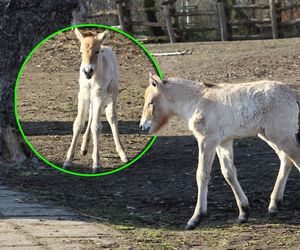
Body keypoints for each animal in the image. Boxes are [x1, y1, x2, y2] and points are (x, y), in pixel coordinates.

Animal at [63, 28, 127, 171]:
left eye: (97, 51)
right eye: (81, 52)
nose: (87, 71)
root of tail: (106, 46)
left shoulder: (98, 95)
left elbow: (96, 126)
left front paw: (96, 163)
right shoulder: (83, 95)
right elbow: (78, 123)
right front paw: (68, 160)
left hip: (111, 92)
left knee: (111, 117)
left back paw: (122, 153)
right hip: (92, 97)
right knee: (92, 113)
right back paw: (84, 147)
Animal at [140, 73, 300, 229]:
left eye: (151, 102)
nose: (142, 126)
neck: (197, 102)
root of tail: (292, 94)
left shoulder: (207, 141)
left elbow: (202, 175)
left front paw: (196, 218)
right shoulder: (223, 142)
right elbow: (228, 173)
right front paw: (243, 213)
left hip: (280, 136)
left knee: (294, 159)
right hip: (270, 136)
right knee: (286, 159)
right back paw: (274, 205)